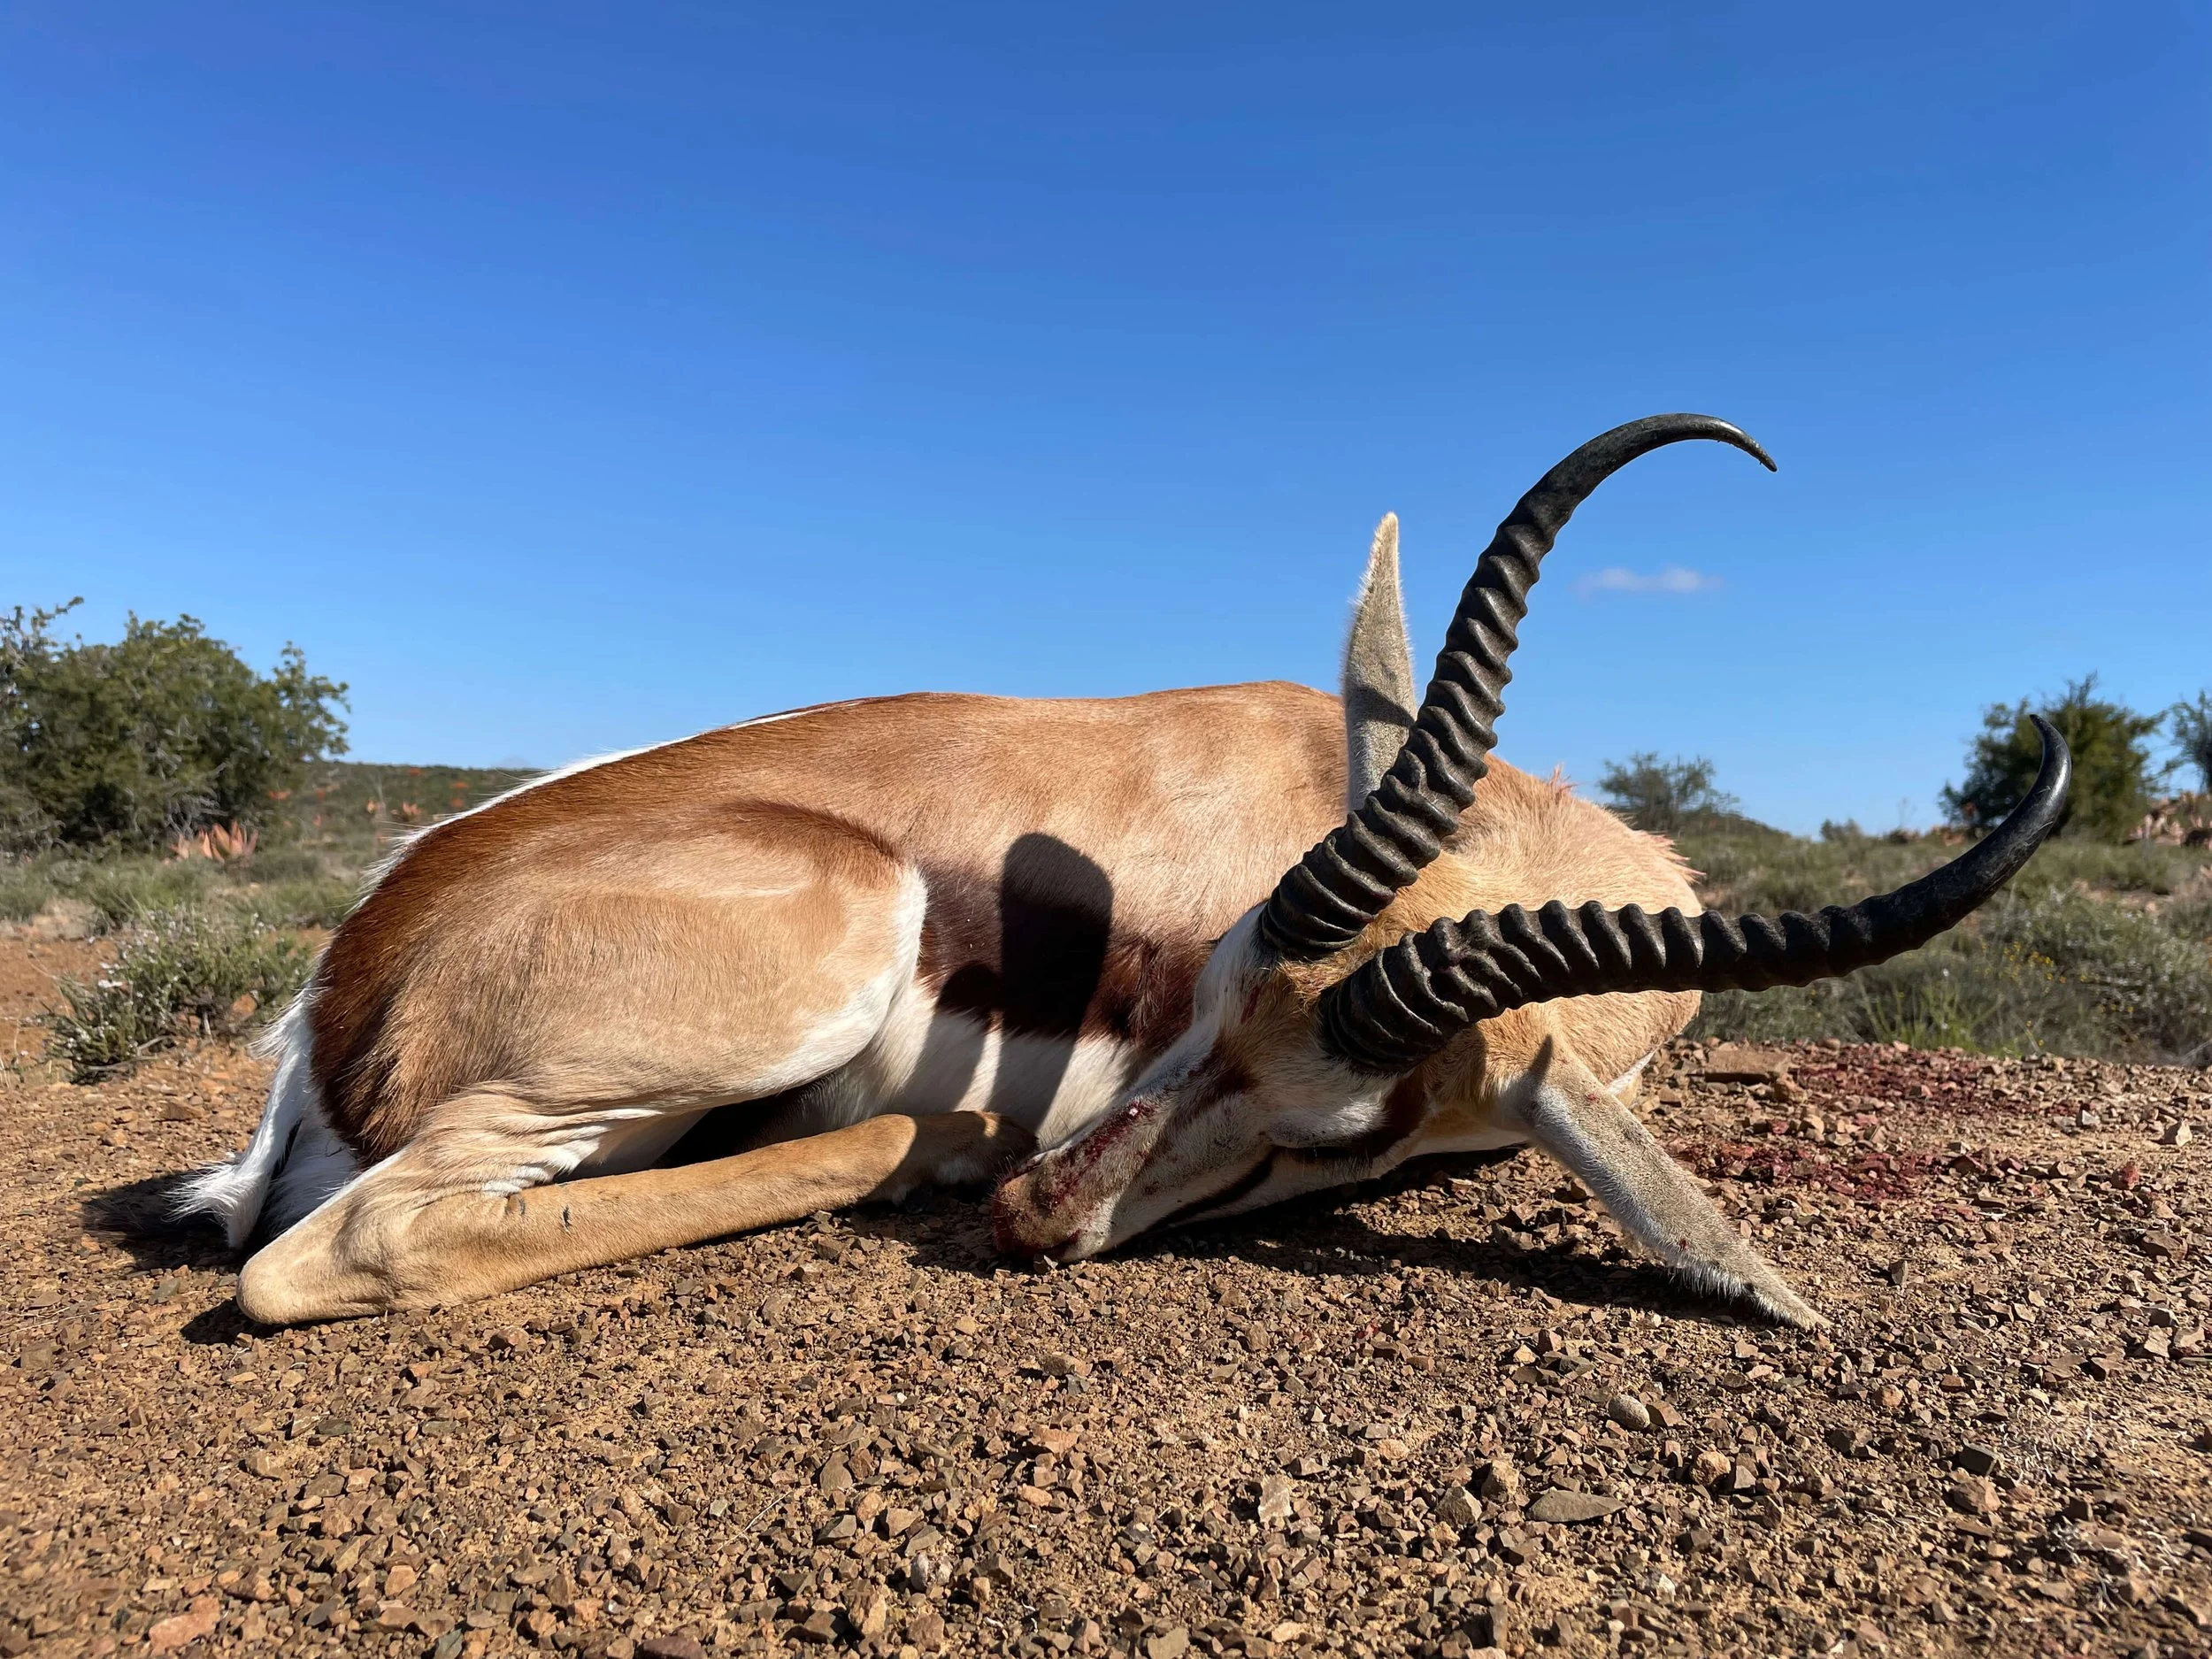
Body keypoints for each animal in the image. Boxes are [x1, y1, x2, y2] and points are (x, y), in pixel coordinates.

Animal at [184, 414, 2068, 1328]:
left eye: (1333, 1136)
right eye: (1200, 988)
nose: (1038, 1216)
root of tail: (354, 969)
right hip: (805, 965)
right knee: (342, 1254)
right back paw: (941, 1143)